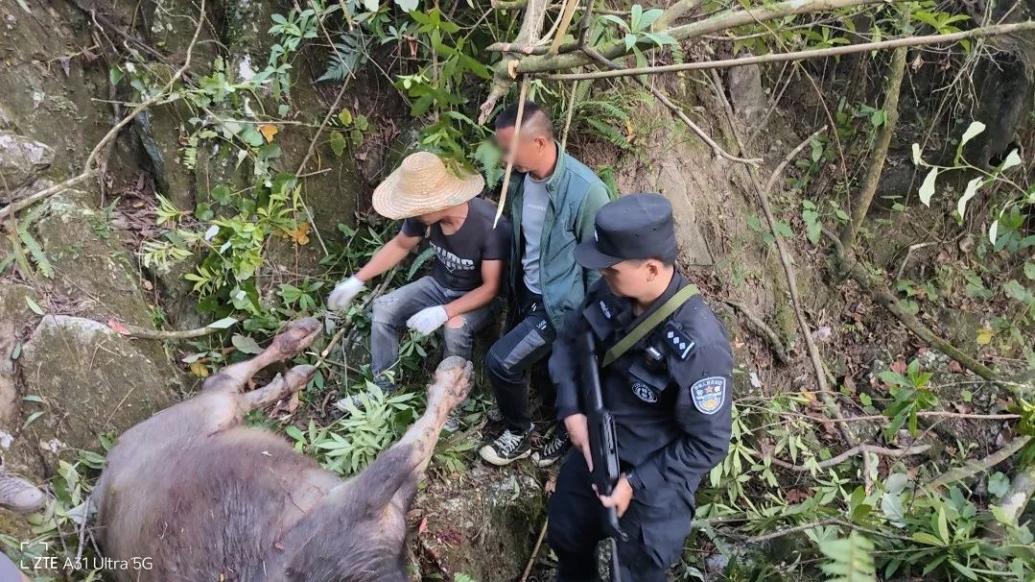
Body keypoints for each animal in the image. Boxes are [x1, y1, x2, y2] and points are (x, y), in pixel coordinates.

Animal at [93, 316, 474, 579]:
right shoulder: (360, 495)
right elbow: (413, 444)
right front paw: (453, 379)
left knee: (234, 390)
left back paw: (299, 361)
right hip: (204, 412)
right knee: (222, 382)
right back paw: (299, 344)